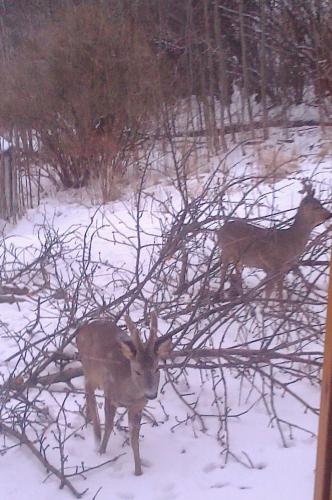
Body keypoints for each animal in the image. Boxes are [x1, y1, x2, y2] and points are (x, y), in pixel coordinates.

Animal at [76, 312, 171, 476]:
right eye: (137, 371)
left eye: (157, 368)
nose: (151, 395)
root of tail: (81, 329)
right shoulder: (109, 394)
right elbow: (108, 426)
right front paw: (101, 452)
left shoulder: (137, 406)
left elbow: (134, 439)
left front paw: (138, 471)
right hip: (89, 369)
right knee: (89, 393)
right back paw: (96, 435)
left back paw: (88, 421)